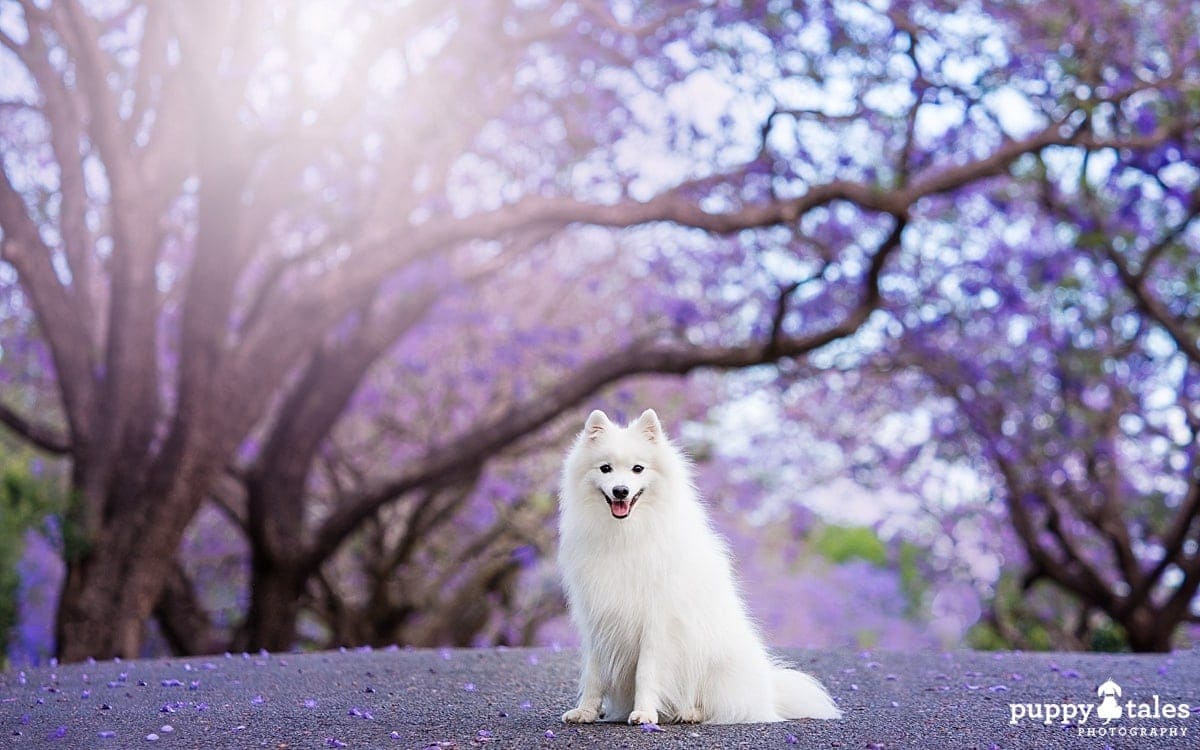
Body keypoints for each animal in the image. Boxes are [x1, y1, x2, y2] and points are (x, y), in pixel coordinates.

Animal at [556, 410, 840, 724]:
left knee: (724, 705)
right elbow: (594, 675)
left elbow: (647, 672)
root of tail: (769, 695)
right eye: (605, 468)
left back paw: (689, 712)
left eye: (638, 469)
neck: (626, 534)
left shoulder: (657, 622)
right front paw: (586, 711)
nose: (621, 491)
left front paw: (644, 713)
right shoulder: (597, 617)